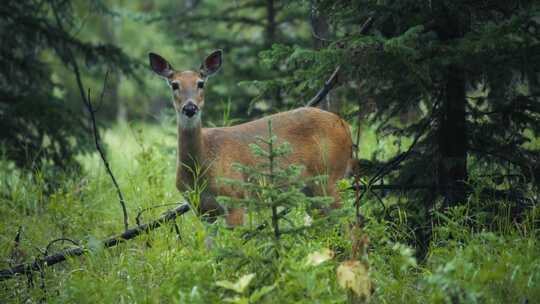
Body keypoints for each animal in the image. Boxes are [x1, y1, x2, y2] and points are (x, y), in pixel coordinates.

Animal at [150, 50, 356, 226]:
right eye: (174, 84)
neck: (201, 166)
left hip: (329, 176)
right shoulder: (203, 210)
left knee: (350, 223)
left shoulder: (236, 198)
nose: (190, 108)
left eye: (201, 83)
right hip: (310, 192)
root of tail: (344, 125)